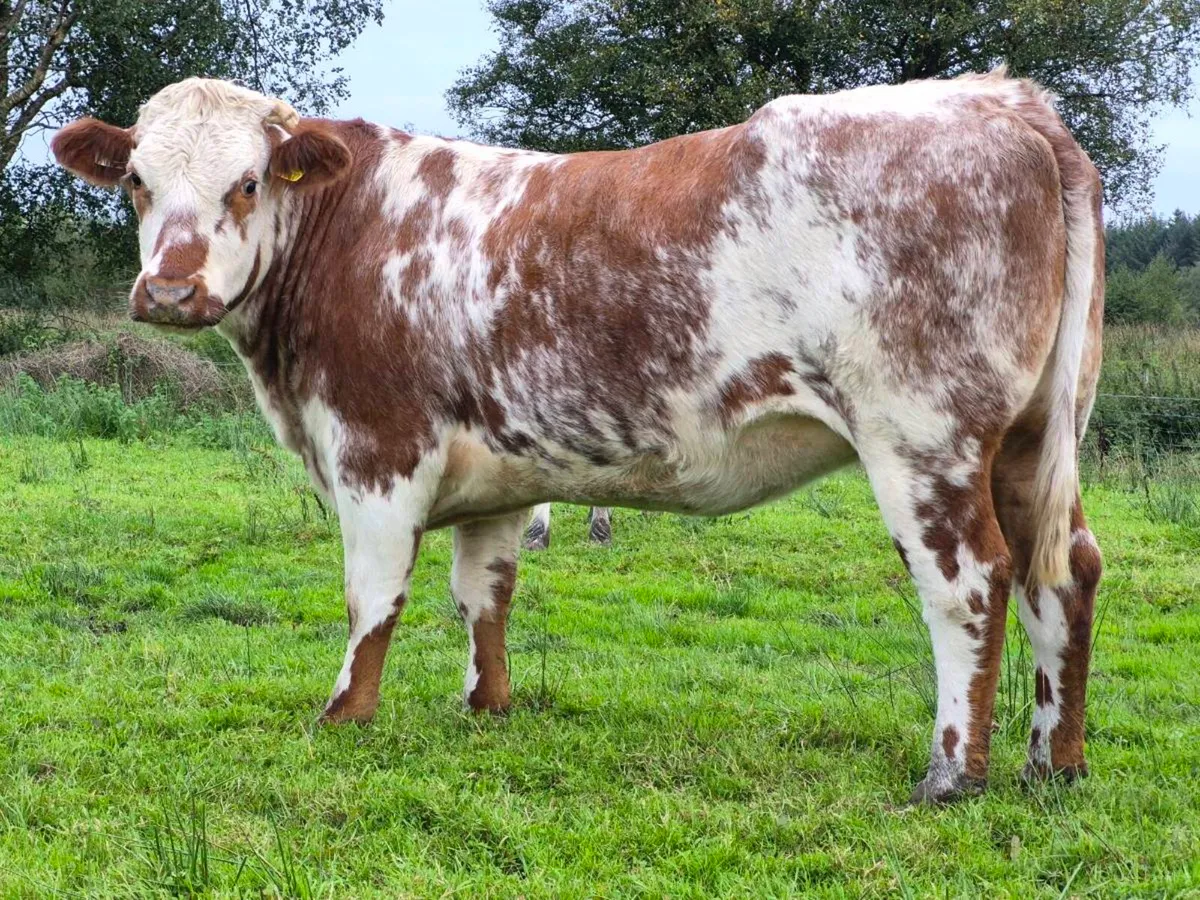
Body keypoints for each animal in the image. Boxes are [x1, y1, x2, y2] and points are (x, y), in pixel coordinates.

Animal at [51, 68, 1104, 804]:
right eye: (137, 181)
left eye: (248, 181)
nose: (170, 291)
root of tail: (1004, 98)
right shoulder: (499, 470)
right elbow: (484, 593)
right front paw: (486, 707)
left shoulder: (376, 447)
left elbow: (373, 594)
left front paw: (344, 715)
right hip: (1029, 440)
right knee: (1065, 572)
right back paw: (1052, 763)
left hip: (922, 436)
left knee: (970, 581)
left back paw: (952, 773)